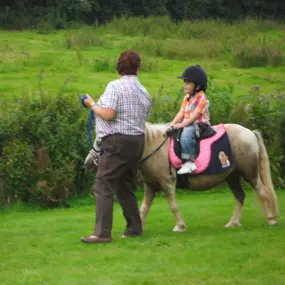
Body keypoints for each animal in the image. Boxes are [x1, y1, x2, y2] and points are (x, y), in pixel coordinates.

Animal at [84, 122, 278, 231]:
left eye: (100, 141)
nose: (87, 163)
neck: (153, 147)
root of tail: (250, 133)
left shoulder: (168, 183)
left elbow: (173, 205)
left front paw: (180, 226)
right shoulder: (150, 186)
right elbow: (143, 208)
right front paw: (139, 227)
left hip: (250, 174)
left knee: (262, 192)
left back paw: (271, 219)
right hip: (232, 175)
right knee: (240, 196)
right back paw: (233, 223)